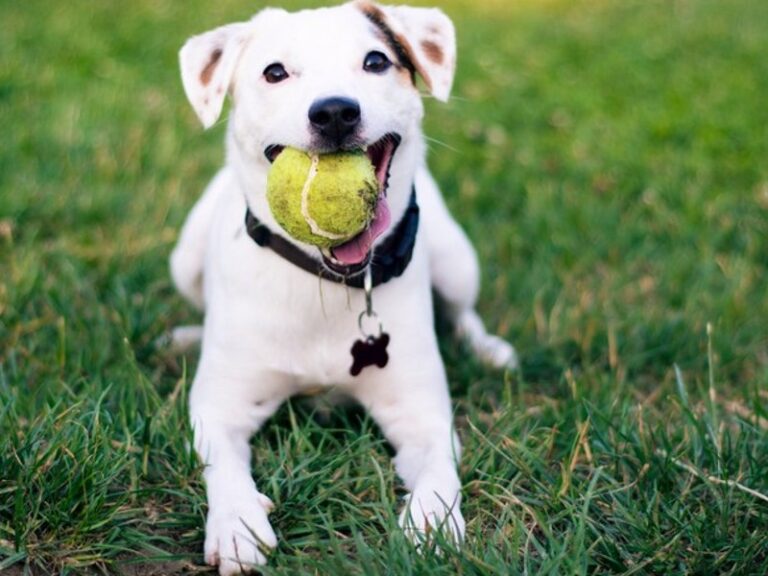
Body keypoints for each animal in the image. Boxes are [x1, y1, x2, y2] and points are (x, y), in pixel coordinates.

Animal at [172, 3, 520, 572]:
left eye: (375, 61)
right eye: (274, 72)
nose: (335, 112)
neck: (326, 280)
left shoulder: (421, 413)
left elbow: (440, 469)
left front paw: (432, 520)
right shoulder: (218, 407)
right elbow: (222, 464)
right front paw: (238, 522)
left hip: (456, 259)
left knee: (464, 312)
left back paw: (489, 349)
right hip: (183, 257)